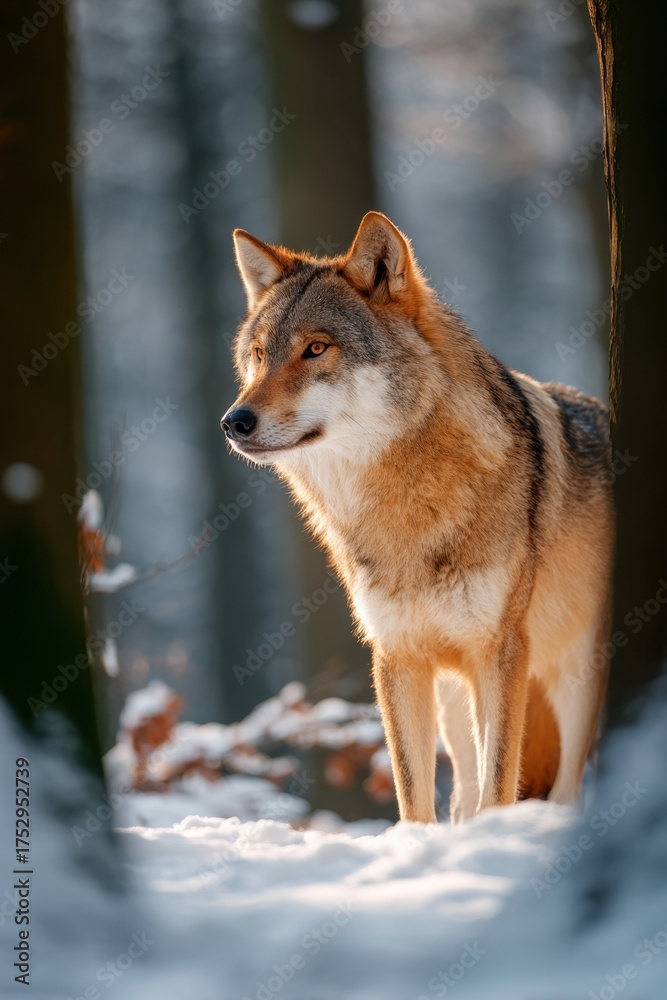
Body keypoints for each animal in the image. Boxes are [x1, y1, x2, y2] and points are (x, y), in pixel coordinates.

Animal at [222, 212, 614, 823]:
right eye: (260, 354)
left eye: (316, 348)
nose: (234, 421)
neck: (405, 507)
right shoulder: (397, 657)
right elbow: (415, 797)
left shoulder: (501, 653)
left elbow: (500, 781)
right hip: (456, 700)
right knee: (464, 795)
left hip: (575, 681)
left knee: (565, 789)